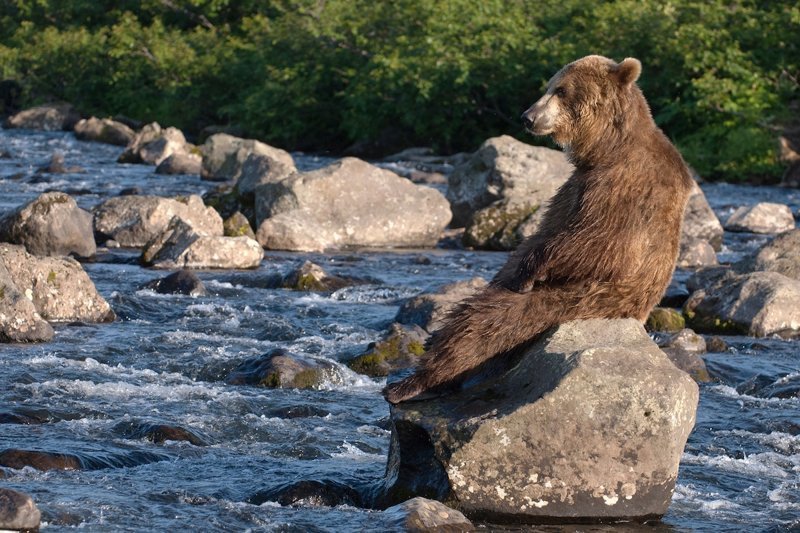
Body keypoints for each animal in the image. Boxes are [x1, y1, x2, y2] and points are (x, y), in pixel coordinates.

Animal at [384, 54, 696, 404]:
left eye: (560, 90)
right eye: (549, 86)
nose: (527, 117)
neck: (606, 148)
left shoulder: (623, 187)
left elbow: (599, 243)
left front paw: (528, 272)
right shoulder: (576, 187)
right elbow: (540, 235)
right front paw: (515, 272)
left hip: (581, 300)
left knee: (488, 322)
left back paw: (413, 383)